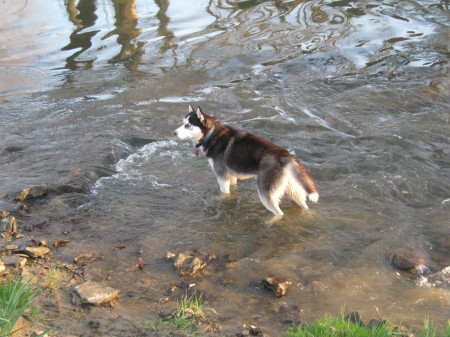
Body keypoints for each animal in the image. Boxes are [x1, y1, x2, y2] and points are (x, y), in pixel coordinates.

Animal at [174, 103, 318, 217]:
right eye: (183, 123)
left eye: (187, 125)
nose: (174, 132)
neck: (211, 135)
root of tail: (285, 154)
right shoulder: (231, 176)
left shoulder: (222, 177)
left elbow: (224, 195)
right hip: (290, 188)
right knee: (303, 204)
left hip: (266, 192)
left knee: (279, 213)